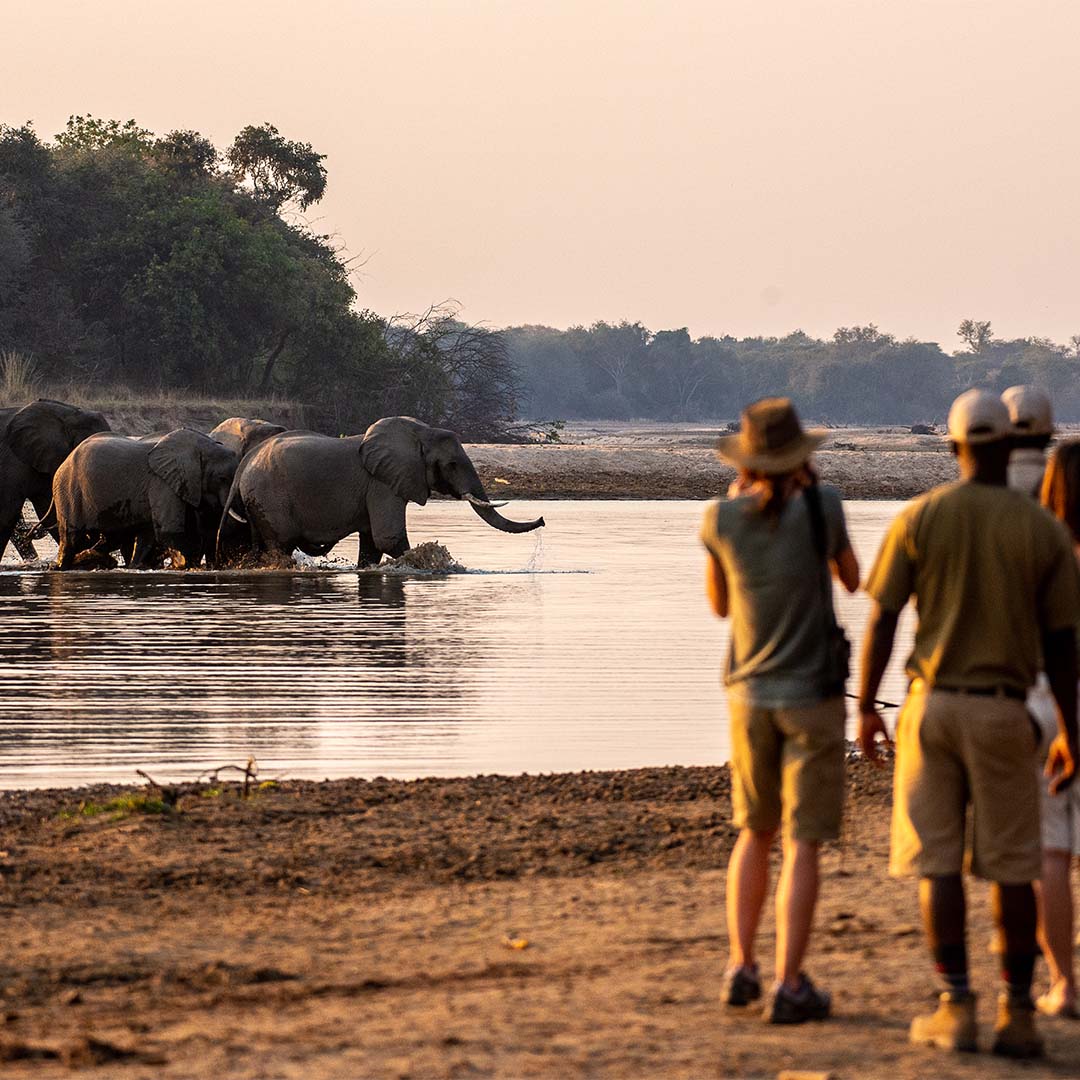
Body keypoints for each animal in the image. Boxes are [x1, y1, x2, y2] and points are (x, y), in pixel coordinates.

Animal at [47, 428, 240, 570]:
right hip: (69, 491)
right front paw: (185, 564)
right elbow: (169, 531)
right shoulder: (162, 482)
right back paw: (61, 566)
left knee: (118, 536)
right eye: (222, 478)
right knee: (72, 537)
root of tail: (63, 463)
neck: (202, 445)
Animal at [219, 416, 544, 566]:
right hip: (270, 498)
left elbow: (372, 546)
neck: (419, 432)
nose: (542, 520)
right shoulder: (382, 484)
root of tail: (245, 464)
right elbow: (389, 538)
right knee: (280, 546)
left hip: (257, 500)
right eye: (452, 464)